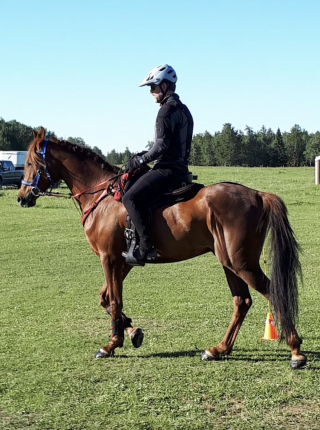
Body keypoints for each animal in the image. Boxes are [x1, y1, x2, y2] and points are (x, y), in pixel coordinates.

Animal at [17, 126, 308, 368]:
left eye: (30, 163)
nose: (22, 197)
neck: (101, 197)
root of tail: (258, 195)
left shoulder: (108, 258)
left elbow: (114, 300)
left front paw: (112, 344)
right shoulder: (123, 261)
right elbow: (106, 299)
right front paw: (131, 331)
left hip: (241, 263)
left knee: (272, 293)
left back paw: (295, 351)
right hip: (229, 263)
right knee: (242, 301)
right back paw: (219, 349)